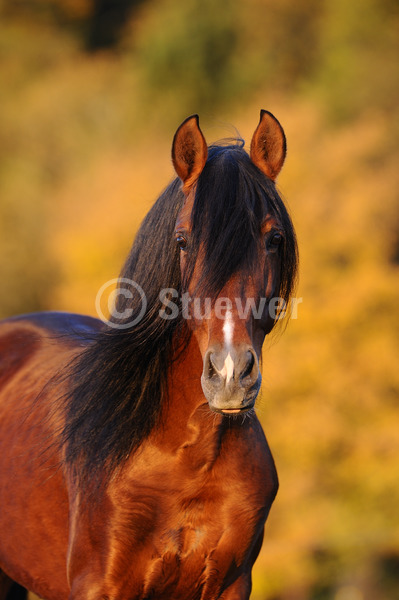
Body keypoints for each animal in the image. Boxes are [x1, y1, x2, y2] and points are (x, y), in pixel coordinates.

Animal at [0, 112, 296, 600]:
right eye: (182, 240)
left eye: (273, 239)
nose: (230, 373)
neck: (188, 459)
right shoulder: (100, 587)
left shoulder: (231, 585)